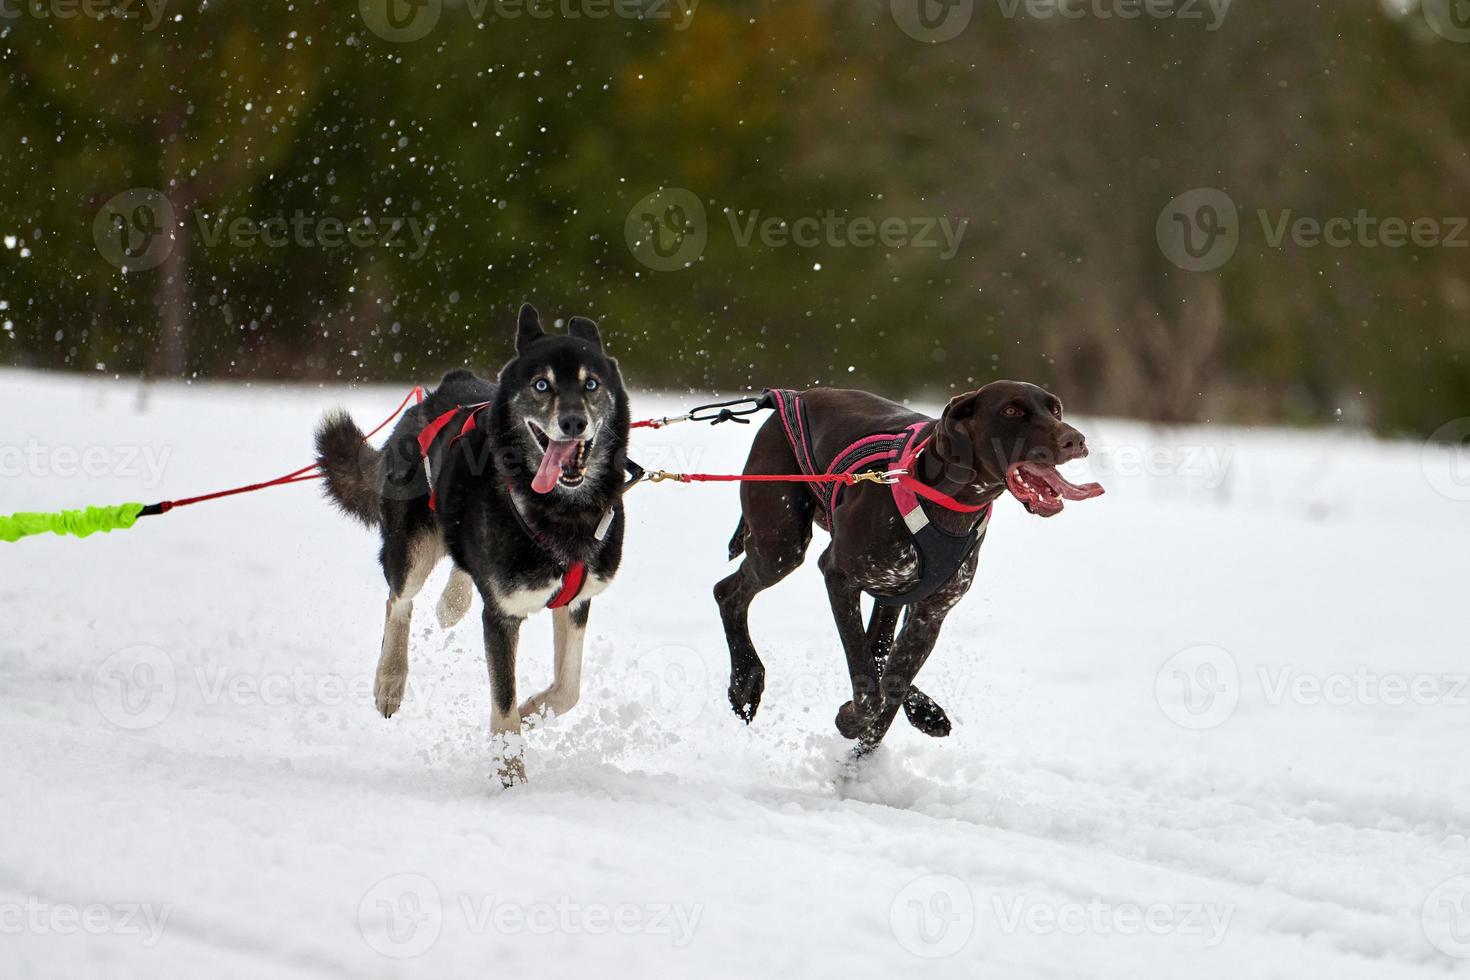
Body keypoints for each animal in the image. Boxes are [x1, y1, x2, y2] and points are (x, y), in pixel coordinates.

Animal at [711, 379, 1105, 758]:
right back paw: (745, 682)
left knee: (880, 650)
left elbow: (890, 686)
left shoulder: (929, 614)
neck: (951, 501)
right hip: (781, 547)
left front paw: (861, 762)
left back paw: (923, 710)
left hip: (888, 590)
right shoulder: (838, 575)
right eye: (1011, 410)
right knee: (728, 592)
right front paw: (851, 720)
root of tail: (787, 397)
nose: (1075, 439)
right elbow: (868, 681)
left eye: (1055, 409)